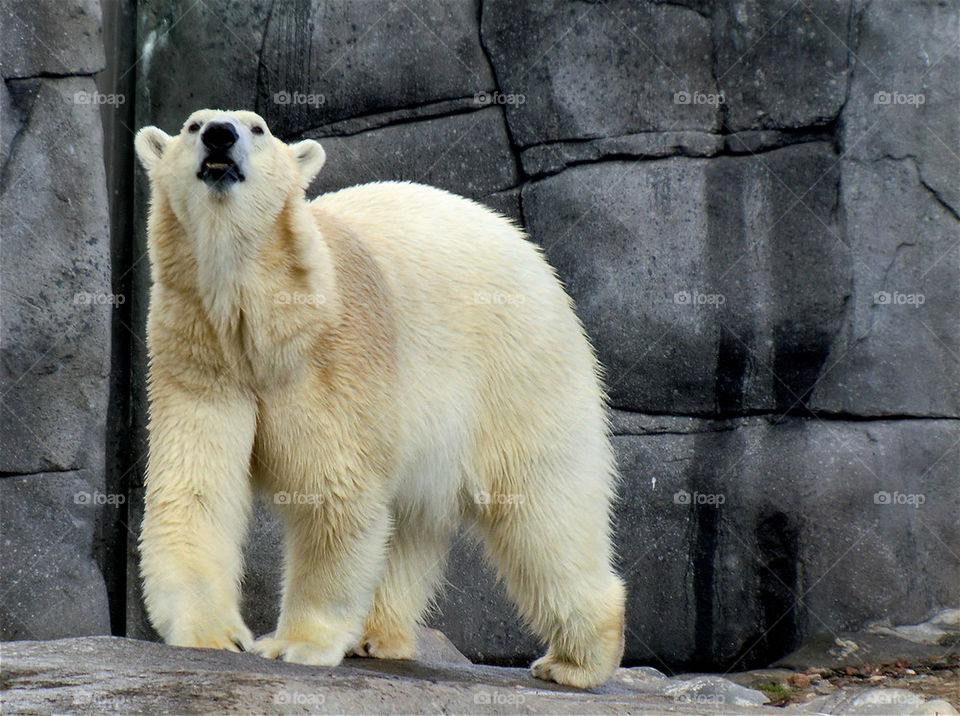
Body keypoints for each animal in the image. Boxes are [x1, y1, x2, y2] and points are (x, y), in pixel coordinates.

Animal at [137, 107, 632, 688]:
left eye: (257, 128)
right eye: (193, 125)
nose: (220, 135)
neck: (263, 321)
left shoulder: (336, 356)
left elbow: (333, 491)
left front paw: (295, 644)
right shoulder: (201, 357)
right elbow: (195, 485)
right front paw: (213, 634)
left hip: (519, 369)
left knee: (544, 509)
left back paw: (574, 662)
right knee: (412, 521)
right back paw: (375, 636)